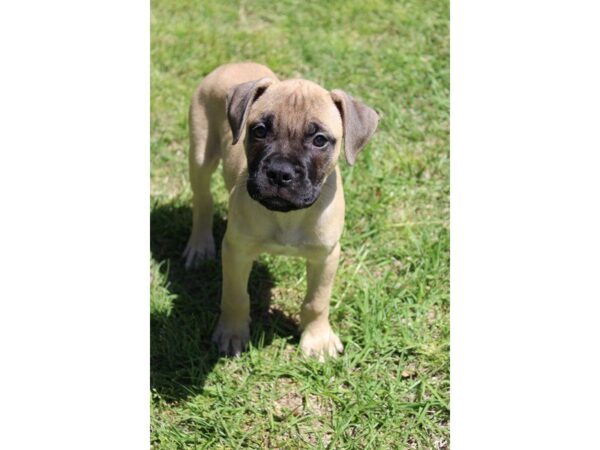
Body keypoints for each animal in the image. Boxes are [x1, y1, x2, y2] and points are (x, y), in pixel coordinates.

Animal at [184, 62, 380, 358]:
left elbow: (317, 301)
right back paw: (199, 246)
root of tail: (235, 63)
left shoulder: (326, 256)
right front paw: (232, 333)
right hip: (200, 153)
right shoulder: (236, 251)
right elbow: (236, 296)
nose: (279, 172)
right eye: (259, 130)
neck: (289, 216)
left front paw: (317, 339)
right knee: (203, 201)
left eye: (320, 140)